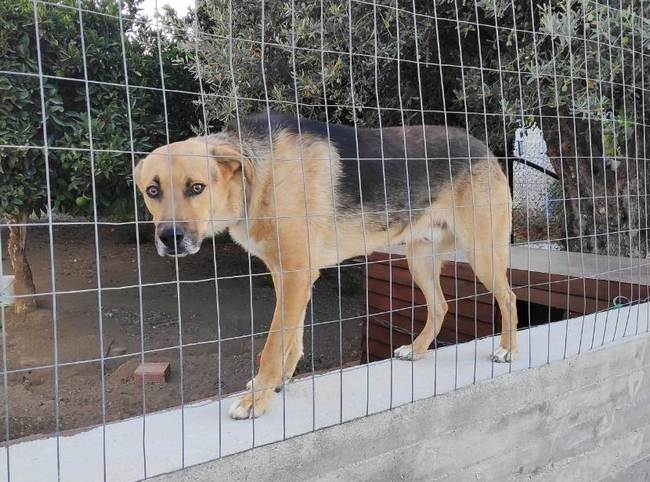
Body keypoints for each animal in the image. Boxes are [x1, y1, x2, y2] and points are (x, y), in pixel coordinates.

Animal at [134, 112, 520, 418]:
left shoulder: (296, 274)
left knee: (509, 297)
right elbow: (291, 337)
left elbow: (273, 345)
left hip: (482, 253)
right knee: (440, 305)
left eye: (196, 188)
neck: (258, 177)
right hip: (419, 258)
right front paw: (277, 382)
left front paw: (256, 399)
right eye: (153, 191)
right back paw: (418, 349)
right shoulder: (287, 276)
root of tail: (482, 147)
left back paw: (508, 350)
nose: (169, 239)